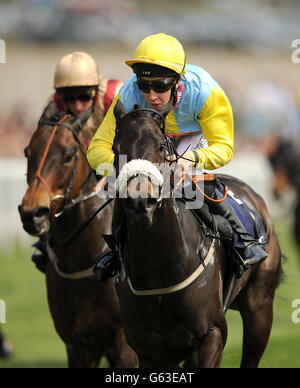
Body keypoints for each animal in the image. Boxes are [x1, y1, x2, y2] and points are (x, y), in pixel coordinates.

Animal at [17, 101, 137, 368]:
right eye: (28, 152)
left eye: (68, 155)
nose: (32, 214)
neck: (83, 260)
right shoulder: (78, 346)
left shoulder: (126, 348)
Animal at [109, 101, 282, 368]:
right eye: (116, 149)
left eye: (160, 146)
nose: (139, 200)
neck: (159, 272)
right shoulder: (148, 349)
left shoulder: (212, 334)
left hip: (260, 306)